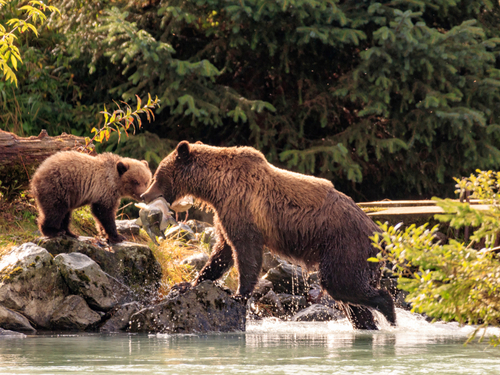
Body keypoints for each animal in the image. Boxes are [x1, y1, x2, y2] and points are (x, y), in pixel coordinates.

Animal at [140, 142, 394, 330]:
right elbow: (221, 252)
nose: (144, 195)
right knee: (350, 299)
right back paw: (368, 324)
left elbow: (245, 251)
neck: (215, 187)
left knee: (341, 283)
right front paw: (188, 284)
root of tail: (380, 234)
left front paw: (239, 295)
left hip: (345, 246)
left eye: (158, 175)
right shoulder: (224, 213)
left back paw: (389, 312)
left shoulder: (241, 207)